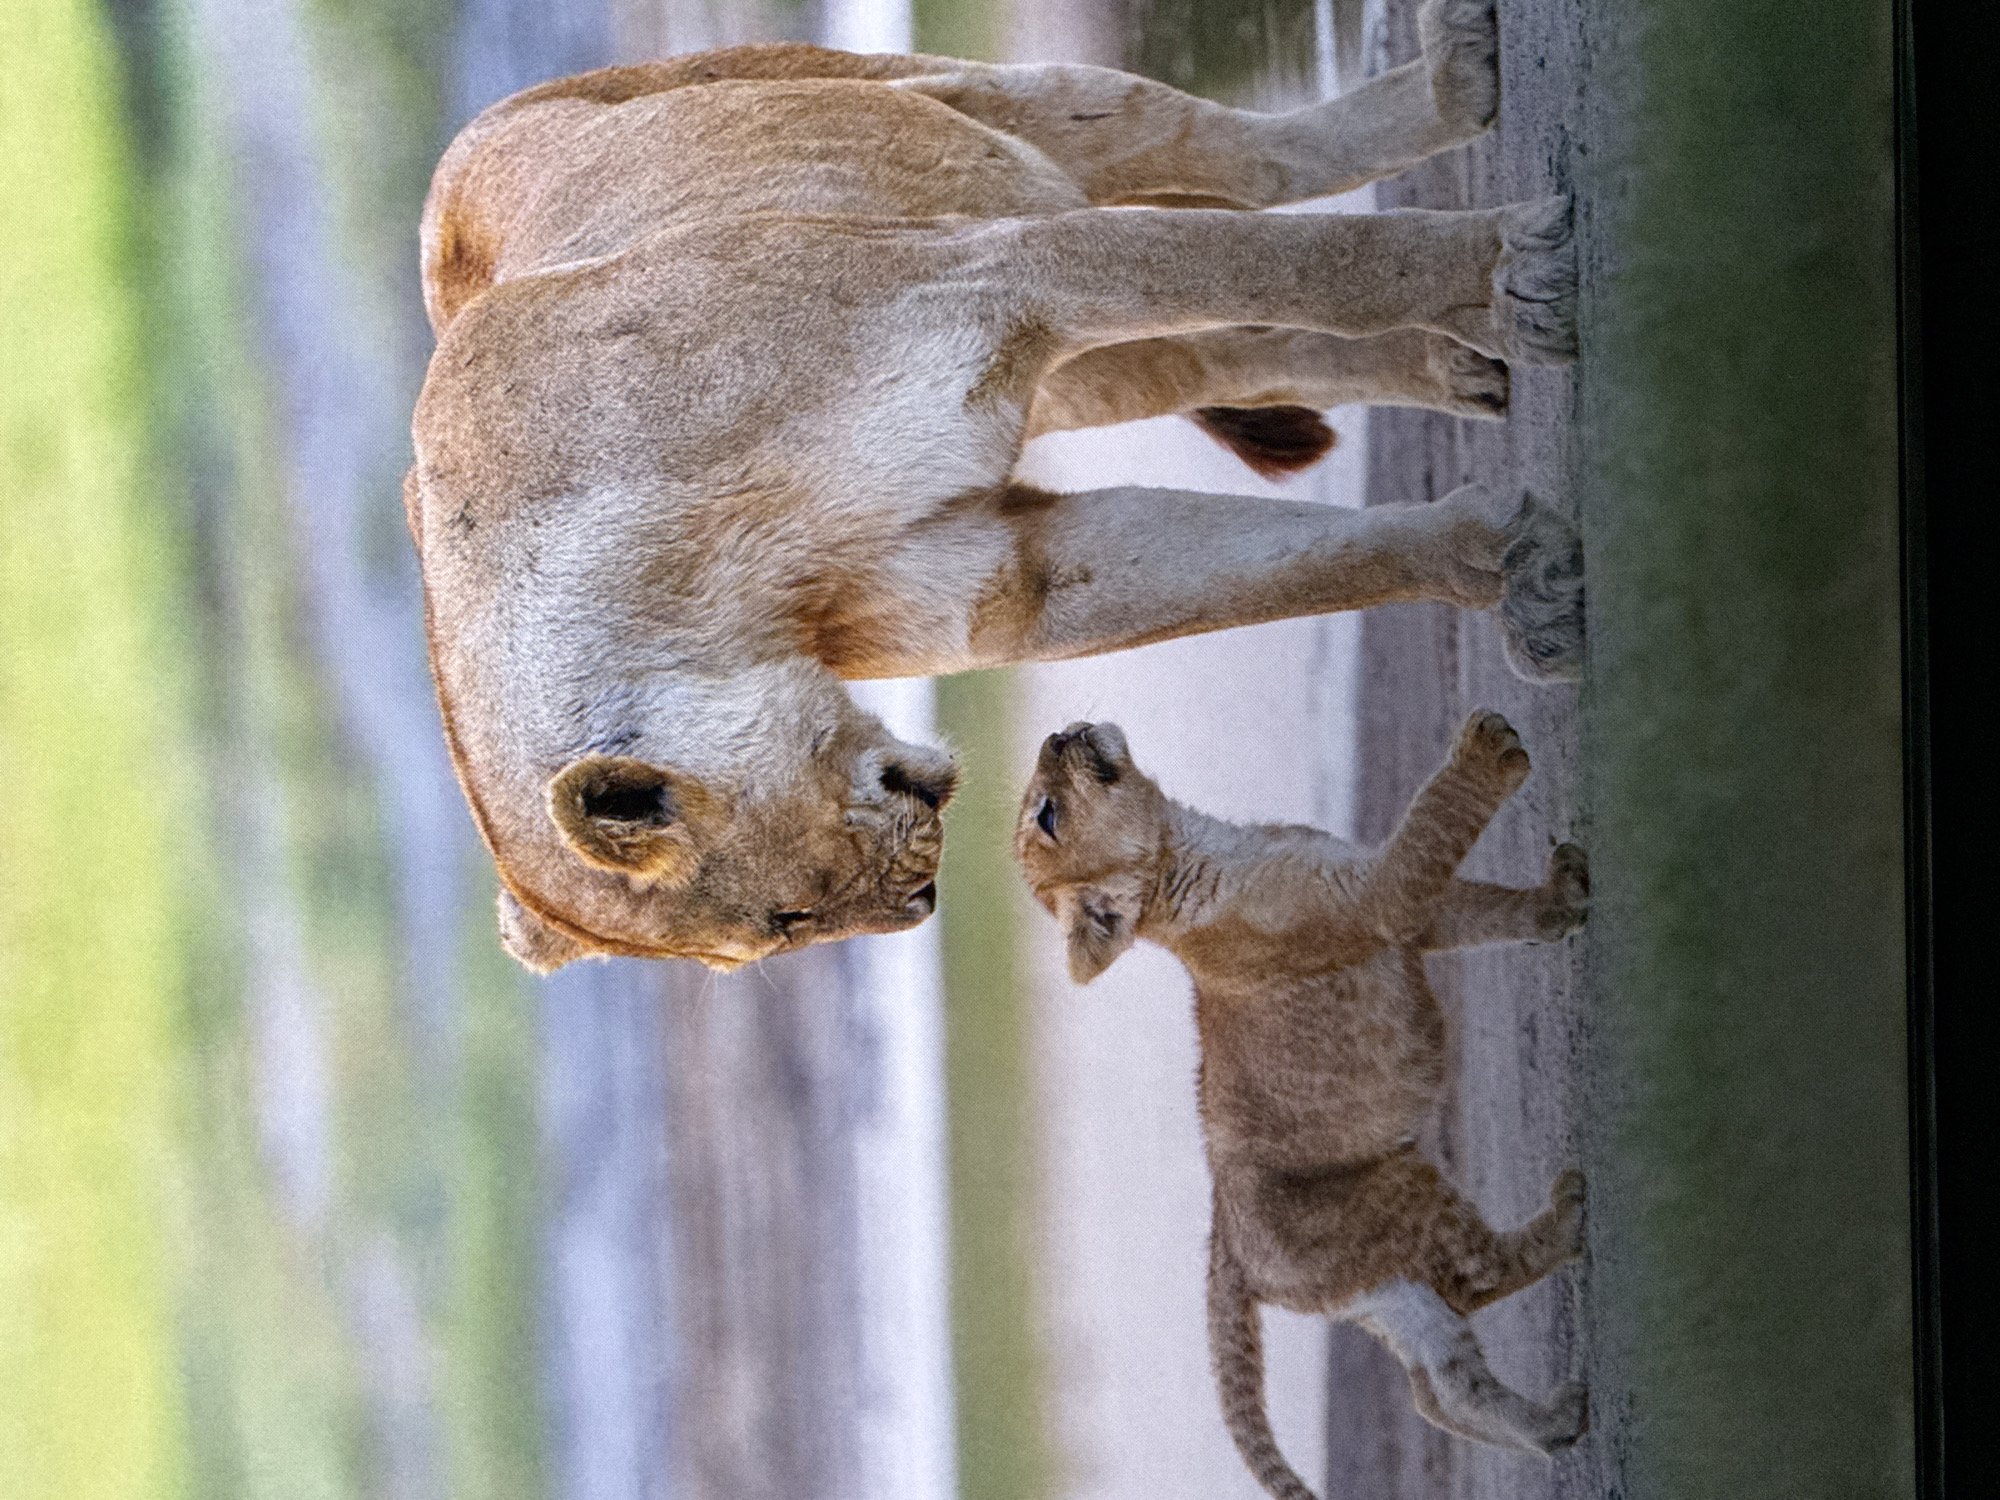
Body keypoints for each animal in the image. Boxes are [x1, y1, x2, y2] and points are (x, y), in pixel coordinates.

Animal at [407, 1, 1586, 972]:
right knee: (1235, 352)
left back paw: (1466, 97)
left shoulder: (1002, 276)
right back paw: (1462, 370)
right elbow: (1288, 570)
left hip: (993, 114)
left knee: (1252, 164)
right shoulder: (1005, 574)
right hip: (1074, 357)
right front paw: (1522, 570)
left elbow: (1322, 264)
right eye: (786, 932)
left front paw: (1516, 275)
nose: (920, 903)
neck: (718, 581)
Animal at [1013, 713, 1591, 1495]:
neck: (1194, 843)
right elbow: (1434, 824)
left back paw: (1557, 1421)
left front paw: (1562, 897)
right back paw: (1569, 1220)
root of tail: (1225, 1245)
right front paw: (1487, 749)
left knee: (1440, 1386)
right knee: (1477, 1279)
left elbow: (1487, 906)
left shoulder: (1408, 914)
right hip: (1393, 1195)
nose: (1055, 733)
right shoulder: (1379, 899)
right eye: (1046, 815)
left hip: (1376, 1285)